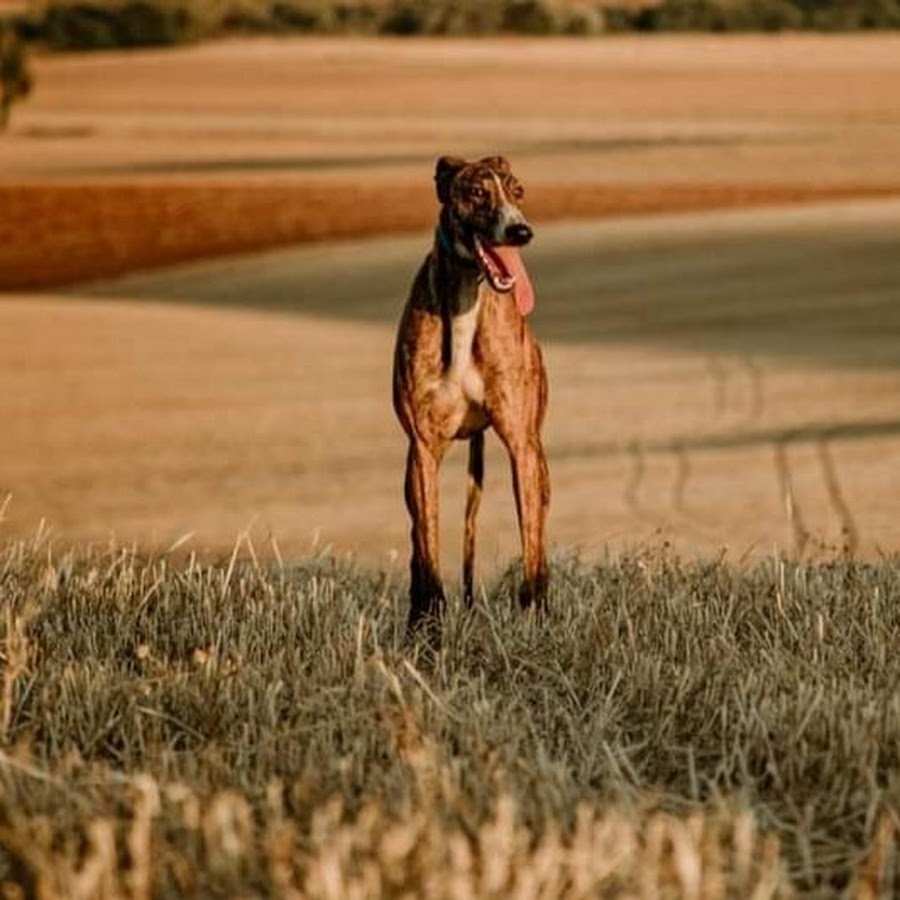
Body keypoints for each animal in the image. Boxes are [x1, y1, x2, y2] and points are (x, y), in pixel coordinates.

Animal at [392, 156, 548, 632]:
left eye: (518, 191)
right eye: (478, 193)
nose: (521, 231)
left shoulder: (522, 446)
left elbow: (531, 547)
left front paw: (533, 621)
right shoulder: (423, 448)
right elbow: (427, 550)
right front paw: (430, 628)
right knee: (417, 537)